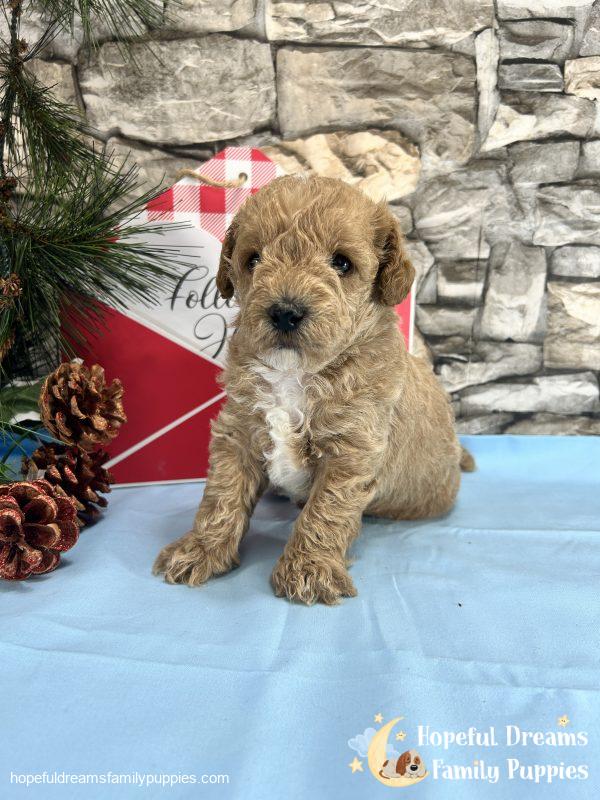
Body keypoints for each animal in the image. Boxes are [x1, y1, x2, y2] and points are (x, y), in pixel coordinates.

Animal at [154, 173, 474, 600]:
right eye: (253, 259)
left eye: (342, 262)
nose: (285, 312)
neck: (296, 374)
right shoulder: (238, 432)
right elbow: (221, 496)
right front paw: (200, 549)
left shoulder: (351, 450)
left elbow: (325, 511)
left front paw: (308, 569)